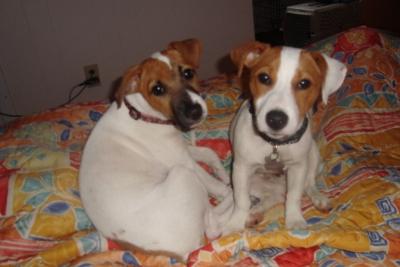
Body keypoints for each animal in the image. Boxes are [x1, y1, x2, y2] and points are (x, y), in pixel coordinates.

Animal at [78, 39, 233, 262]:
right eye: (158, 89)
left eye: (188, 73)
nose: (195, 112)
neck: (142, 114)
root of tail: (179, 252)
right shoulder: (184, 163)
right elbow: (217, 185)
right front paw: (229, 186)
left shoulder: (180, 151)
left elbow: (208, 153)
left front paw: (223, 173)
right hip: (183, 175)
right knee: (213, 227)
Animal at [223, 41, 348, 232]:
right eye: (264, 78)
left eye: (304, 83)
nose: (275, 119)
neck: (275, 144)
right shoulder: (241, 168)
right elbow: (241, 200)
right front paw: (235, 223)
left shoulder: (298, 167)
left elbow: (294, 197)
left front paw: (295, 220)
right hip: (252, 181)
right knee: (271, 197)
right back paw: (254, 213)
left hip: (312, 156)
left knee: (307, 185)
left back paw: (318, 198)